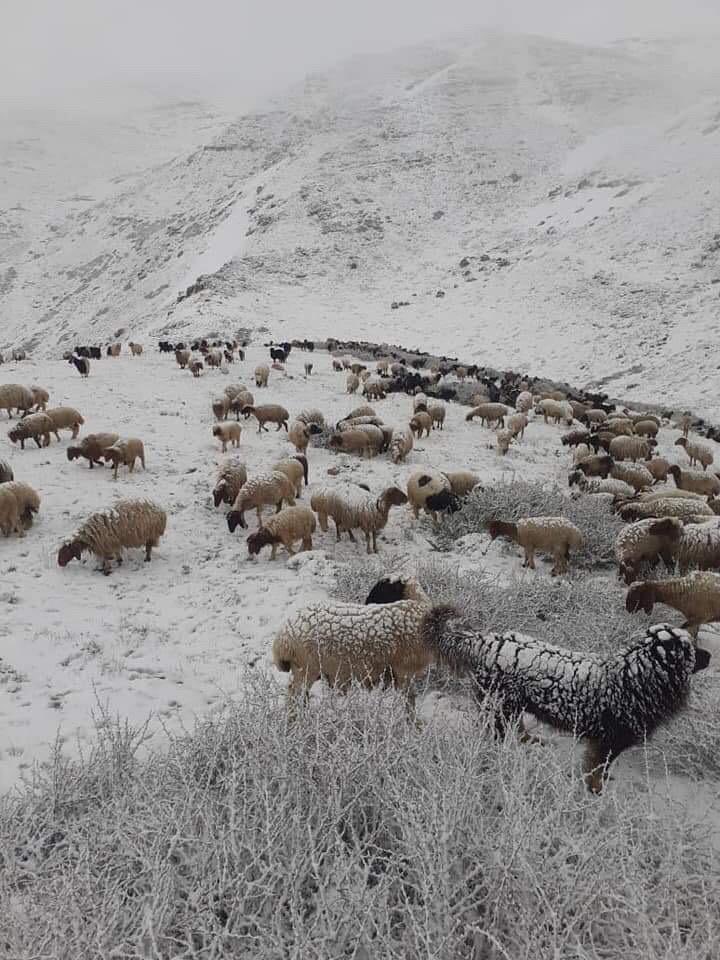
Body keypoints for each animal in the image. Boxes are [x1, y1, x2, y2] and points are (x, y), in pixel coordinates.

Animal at [272, 568, 434, 712]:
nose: (368, 603)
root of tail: (283, 637)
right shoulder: (404, 671)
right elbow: (409, 702)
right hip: (305, 670)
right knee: (295, 699)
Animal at [422, 608, 708, 796]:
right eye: (692, 649)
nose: (710, 656)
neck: (633, 678)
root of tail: (488, 641)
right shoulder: (607, 743)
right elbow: (596, 770)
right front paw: (595, 792)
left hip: (510, 705)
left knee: (517, 727)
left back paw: (530, 741)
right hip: (501, 706)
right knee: (497, 731)